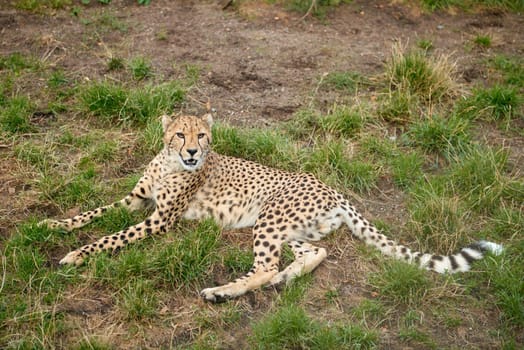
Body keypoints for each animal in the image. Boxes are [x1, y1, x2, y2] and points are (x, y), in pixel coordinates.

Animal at [39, 113, 502, 302]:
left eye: (202, 134)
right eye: (179, 135)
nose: (192, 152)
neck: (170, 164)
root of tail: (330, 185)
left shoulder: (158, 221)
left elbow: (110, 237)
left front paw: (76, 255)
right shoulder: (135, 200)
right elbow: (95, 213)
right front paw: (53, 226)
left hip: (269, 217)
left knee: (264, 266)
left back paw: (221, 292)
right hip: (291, 228)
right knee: (315, 252)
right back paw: (285, 278)